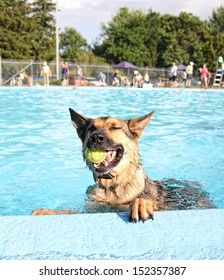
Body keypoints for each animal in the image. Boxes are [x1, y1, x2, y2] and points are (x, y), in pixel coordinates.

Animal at [31, 109, 214, 221]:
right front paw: (48, 211)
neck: (112, 188)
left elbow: (143, 201)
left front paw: (140, 204)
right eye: (91, 129)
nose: (96, 138)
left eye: (115, 127)